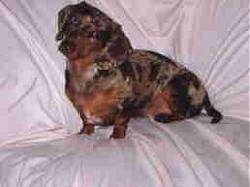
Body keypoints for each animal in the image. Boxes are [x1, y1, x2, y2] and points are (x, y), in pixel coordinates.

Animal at [55, 1, 222, 138]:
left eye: (94, 34)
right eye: (74, 20)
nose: (65, 47)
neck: (87, 75)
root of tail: (204, 92)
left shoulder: (128, 102)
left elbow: (120, 121)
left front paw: (117, 137)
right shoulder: (80, 109)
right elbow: (86, 121)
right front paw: (85, 133)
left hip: (175, 86)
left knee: (185, 114)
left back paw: (165, 117)